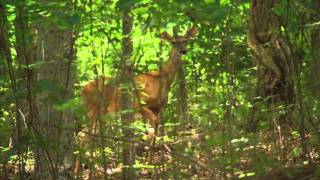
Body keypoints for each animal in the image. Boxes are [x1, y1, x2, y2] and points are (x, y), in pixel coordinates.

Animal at [76, 26, 199, 174]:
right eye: (173, 42)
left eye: (186, 40)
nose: (183, 51)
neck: (162, 80)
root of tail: (82, 90)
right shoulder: (139, 103)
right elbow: (152, 131)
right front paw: (149, 166)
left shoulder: (158, 108)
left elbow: (155, 131)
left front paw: (151, 164)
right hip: (92, 110)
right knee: (83, 135)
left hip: (101, 114)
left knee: (88, 136)